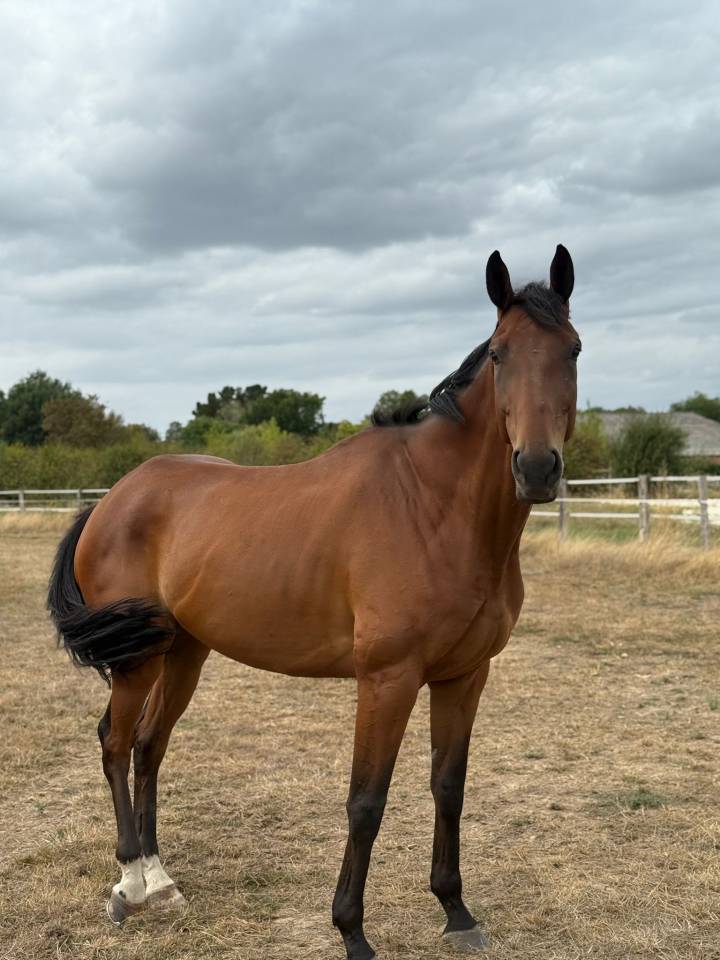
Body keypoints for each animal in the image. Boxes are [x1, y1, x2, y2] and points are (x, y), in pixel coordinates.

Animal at [48, 245, 578, 960]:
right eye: (499, 355)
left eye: (573, 350)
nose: (537, 468)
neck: (435, 507)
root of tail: (110, 499)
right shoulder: (387, 680)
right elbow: (366, 801)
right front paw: (352, 930)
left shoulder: (465, 676)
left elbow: (449, 787)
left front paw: (456, 910)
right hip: (140, 661)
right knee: (114, 740)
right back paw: (130, 882)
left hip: (185, 652)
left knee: (150, 745)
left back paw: (161, 880)